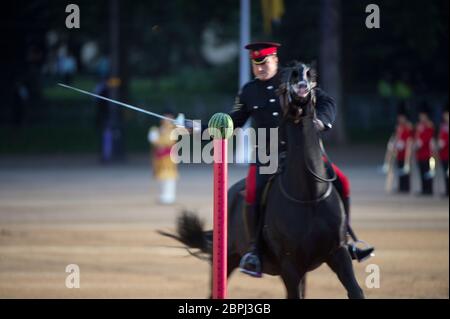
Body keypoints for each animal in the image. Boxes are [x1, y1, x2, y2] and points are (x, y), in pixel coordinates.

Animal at [163, 62, 366, 300]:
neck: (309, 196)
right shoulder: (290, 266)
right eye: (287, 81)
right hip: (227, 260)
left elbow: (355, 291)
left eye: (309, 75)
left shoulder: (338, 253)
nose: (301, 88)